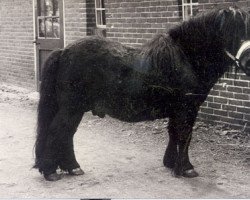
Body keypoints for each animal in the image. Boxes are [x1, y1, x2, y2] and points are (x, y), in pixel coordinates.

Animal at [33, 7, 250, 180]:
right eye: (232, 31)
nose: (248, 62)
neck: (185, 58)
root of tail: (63, 51)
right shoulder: (186, 109)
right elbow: (185, 136)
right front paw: (186, 168)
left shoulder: (176, 111)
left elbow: (174, 133)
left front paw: (170, 163)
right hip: (72, 108)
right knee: (58, 132)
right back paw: (52, 171)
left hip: (74, 109)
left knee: (67, 135)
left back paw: (72, 167)